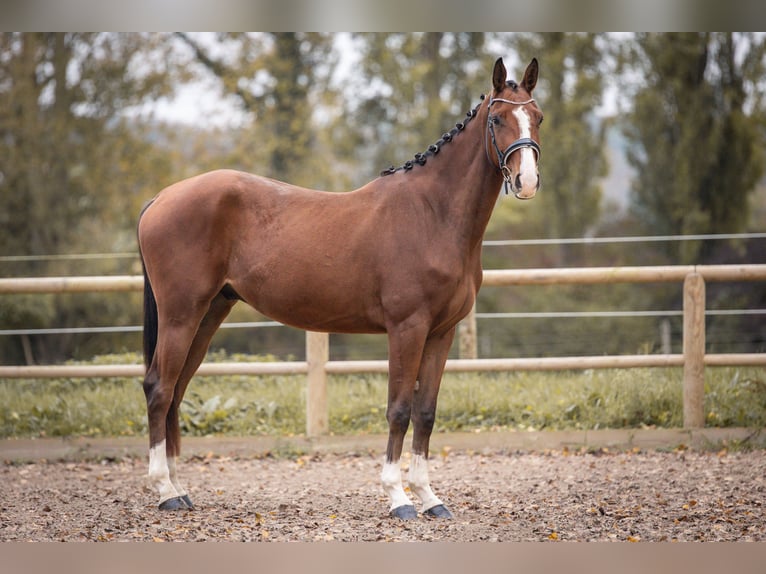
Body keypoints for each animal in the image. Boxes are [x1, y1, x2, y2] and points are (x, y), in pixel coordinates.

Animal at [140, 58, 544, 520]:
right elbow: (399, 410)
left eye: (538, 117)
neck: (433, 214)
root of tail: (161, 198)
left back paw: (179, 488)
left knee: (176, 391)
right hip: (181, 314)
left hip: (208, 313)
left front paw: (430, 498)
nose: (527, 180)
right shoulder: (407, 329)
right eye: (497, 120)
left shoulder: (442, 333)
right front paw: (398, 497)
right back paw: (165, 491)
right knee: (159, 388)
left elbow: (425, 413)